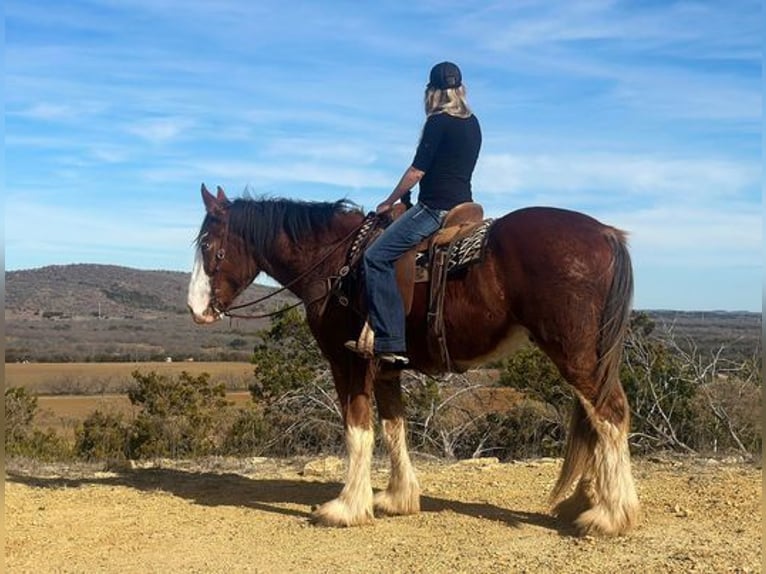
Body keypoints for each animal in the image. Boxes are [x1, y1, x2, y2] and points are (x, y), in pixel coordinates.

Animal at [188, 186, 640, 540]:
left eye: (209, 246)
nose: (195, 309)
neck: (337, 264)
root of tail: (604, 233)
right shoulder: (386, 367)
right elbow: (394, 428)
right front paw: (397, 497)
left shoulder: (348, 362)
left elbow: (358, 431)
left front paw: (346, 507)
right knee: (596, 419)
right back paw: (588, 502)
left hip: (576, 356)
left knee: (611, 414)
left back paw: (610, 515)